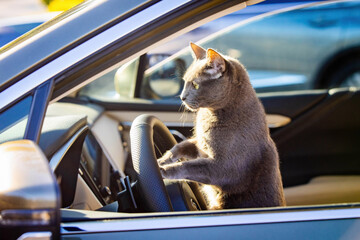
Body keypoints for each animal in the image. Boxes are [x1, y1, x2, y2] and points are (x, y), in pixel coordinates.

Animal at [157, 43, 284, 210]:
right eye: (184, 81)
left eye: (195, 85)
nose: (182, 97)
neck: (210, 114)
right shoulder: (200, 144)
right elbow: (181, 146)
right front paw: (161, 160)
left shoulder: (224, 167)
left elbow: (189, 166)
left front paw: (162, 170)